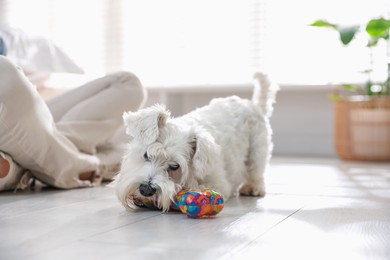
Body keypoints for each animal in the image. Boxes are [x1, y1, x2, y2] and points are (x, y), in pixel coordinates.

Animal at [111, 72, 278, 211]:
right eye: (146, 155)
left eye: (174, 166)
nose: (146, 189)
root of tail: (253, 105)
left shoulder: (219, 183)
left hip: (258, 147)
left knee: (256, 169)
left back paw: (252, 188)